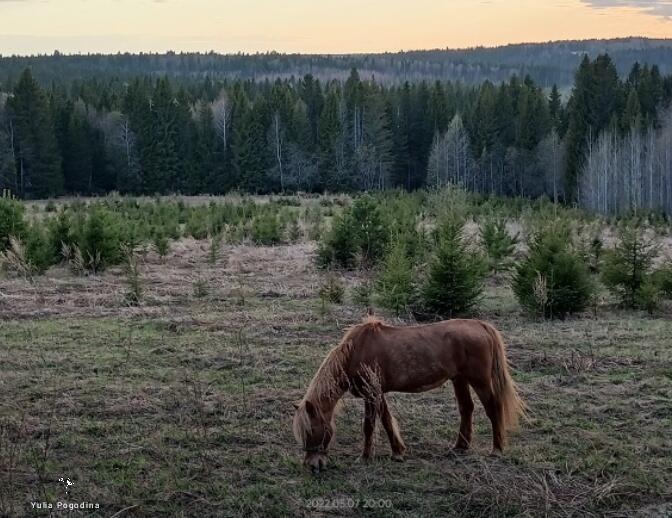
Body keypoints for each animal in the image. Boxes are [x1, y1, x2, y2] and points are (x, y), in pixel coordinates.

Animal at [292, 318, 524, 474]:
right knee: (466, 408)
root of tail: (480, 325)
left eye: (312, 430)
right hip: (459, 379)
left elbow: (369, 426)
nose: (312, 465)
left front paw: (365, 457)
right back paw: (460, 447)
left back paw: (497, 449)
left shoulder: (371, 394)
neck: (355, 352)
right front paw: (397, 452)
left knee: (493, 408)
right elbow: (386, 421)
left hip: (479, 380)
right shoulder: (378, 394)